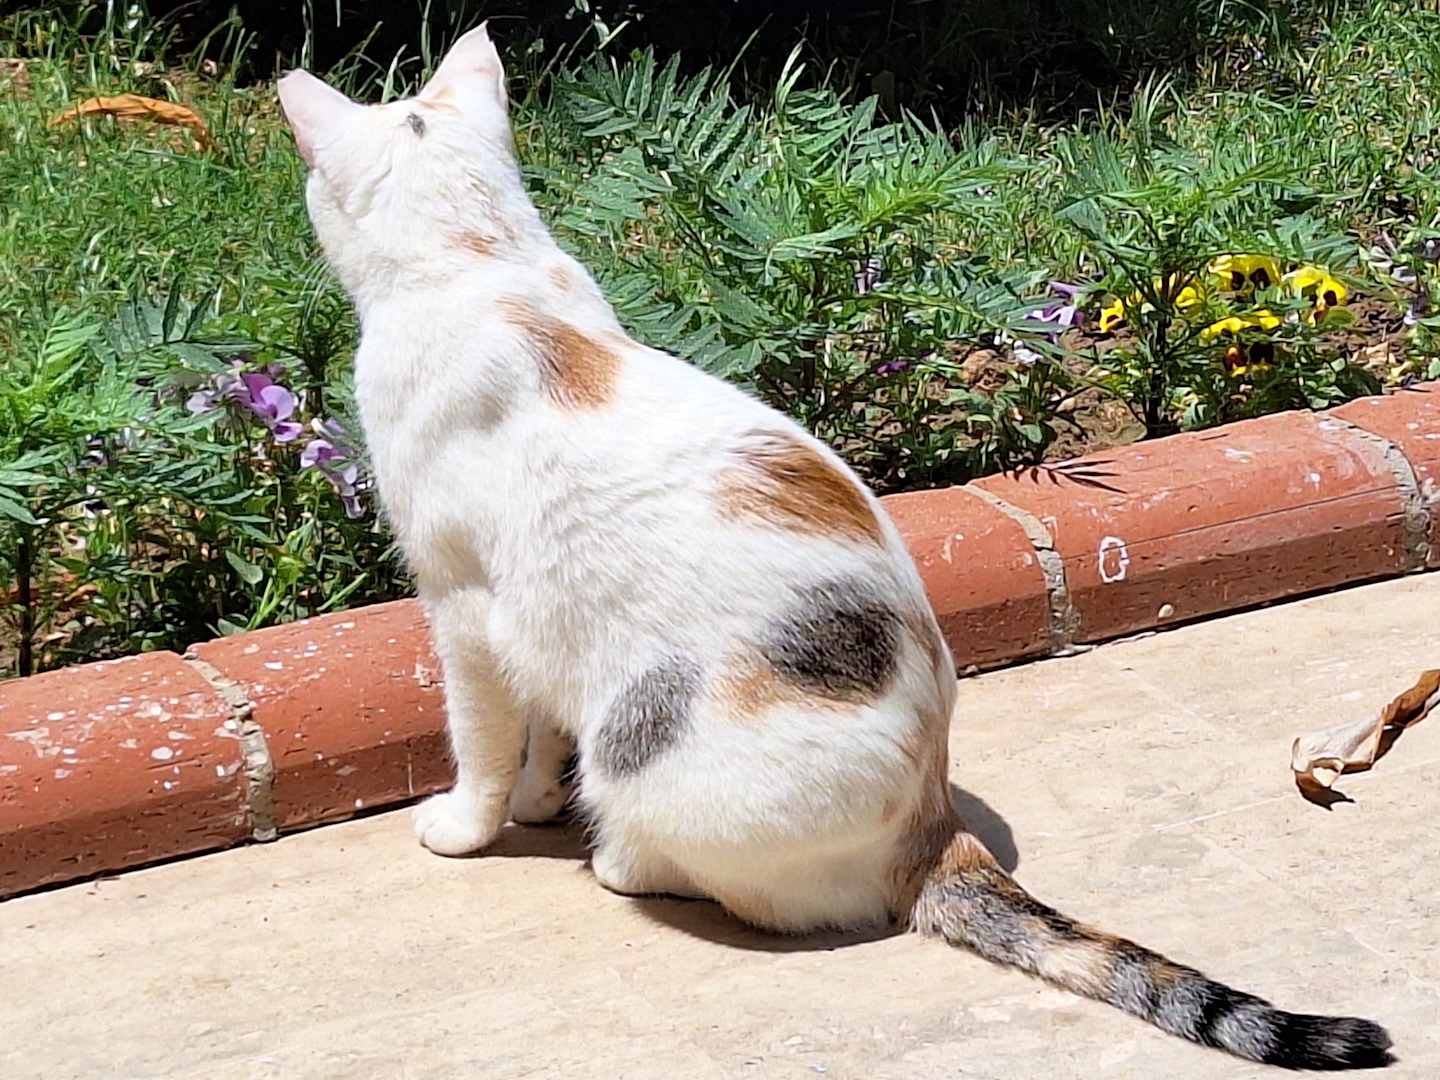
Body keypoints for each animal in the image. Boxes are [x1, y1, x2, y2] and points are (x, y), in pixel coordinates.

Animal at [278, 26, 1392, 1070]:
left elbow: (480, 741)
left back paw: (617, 856)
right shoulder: (534, 616)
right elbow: (541, 727)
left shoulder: (462, 607)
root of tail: (935, 823)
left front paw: (471, 825)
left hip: (651, 757)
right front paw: (541, 798)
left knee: (723, 881)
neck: (479, 262)